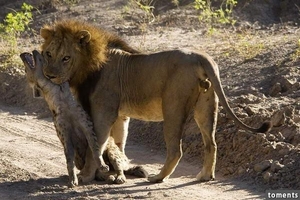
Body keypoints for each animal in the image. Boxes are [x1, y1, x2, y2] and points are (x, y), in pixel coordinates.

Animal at [39, 19, 272, 184]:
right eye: (48, 53)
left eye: (66, 58)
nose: (49, 75)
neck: (89, 64)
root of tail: (201, 56)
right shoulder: (121, 116)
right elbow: (119, 143)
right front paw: (117, 172)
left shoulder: (103, 113)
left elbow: (94, 145)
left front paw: (87, 176)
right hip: (206, 106)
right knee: (211, 143)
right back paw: (205, 176)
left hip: (173, 107)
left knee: (176, 149)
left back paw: (158, 177)